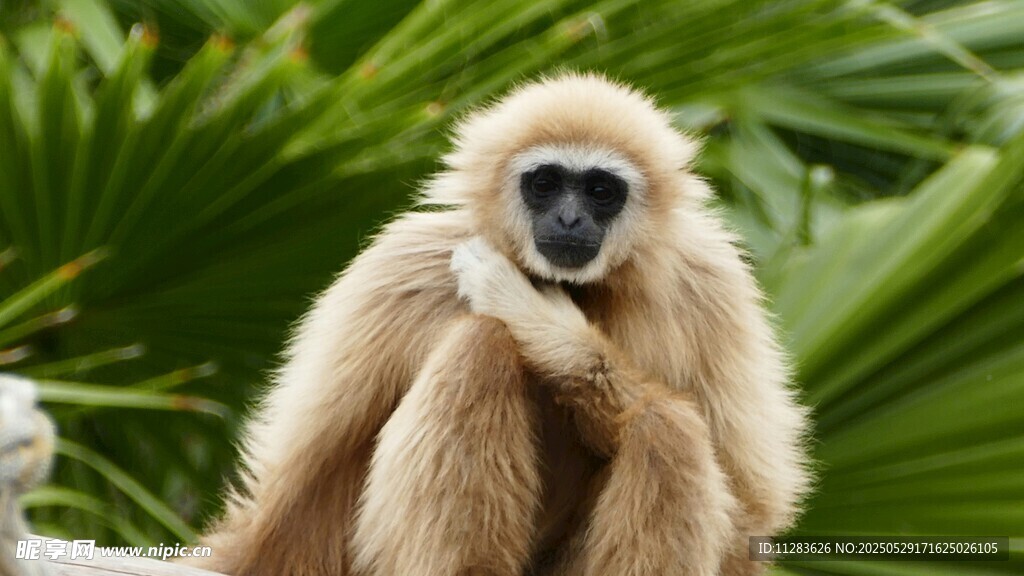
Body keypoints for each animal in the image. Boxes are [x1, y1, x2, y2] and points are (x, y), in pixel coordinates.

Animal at [190, 73, 812, 576]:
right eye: (544, 183)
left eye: (600, 191)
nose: (570, 218)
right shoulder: (402, 266)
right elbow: (284, 488)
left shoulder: (712, 285)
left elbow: (752, 509)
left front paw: (543, 324)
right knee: (482, 343)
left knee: (669, 426)